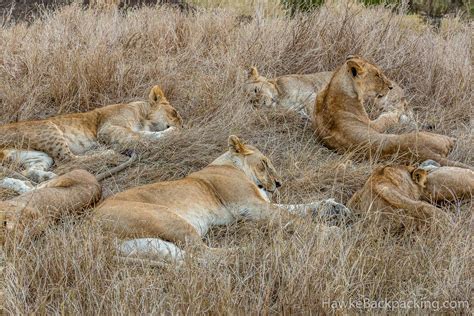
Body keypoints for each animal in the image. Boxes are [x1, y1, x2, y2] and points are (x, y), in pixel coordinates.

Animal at [0, 86, 182, 185]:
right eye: (174, 112)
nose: (183, 126)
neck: (141, 113)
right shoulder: (107, 129)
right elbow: (142, 136)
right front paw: (171, 133)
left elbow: (142, 134)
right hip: (49, 128)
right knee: (69, 160)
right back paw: (109, 153)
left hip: (37, 155)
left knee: (31, 170)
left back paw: (48, 176)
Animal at [93, 135, 352, 262]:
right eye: (264, 163)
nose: (279, 183)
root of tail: (89, 224)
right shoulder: (250, 207)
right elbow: (292, 217)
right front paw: (328, 231)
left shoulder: (260, 204)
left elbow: (297, 208)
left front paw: (334, 208)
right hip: (166, 217)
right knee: (203, 254)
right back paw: (258, 251)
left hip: (147, 244)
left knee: (192, 258)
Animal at [244, 66, 414, 131]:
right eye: (252, 104)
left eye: (256, 90)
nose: (262, 103)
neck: (279, 97)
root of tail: (403, 95)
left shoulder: (310, 94)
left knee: (383, 119)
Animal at [312, 55, 472, 169]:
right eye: (377, 75)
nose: (390, 87)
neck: (332, 87)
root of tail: (422, 153)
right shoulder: (372, 125)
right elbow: (385, 119)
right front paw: (394, 113)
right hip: (431, 136)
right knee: (451, 140)